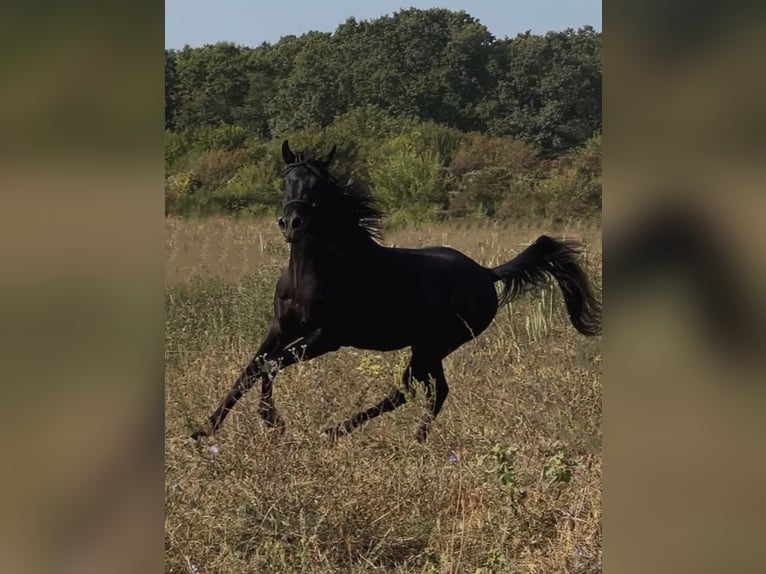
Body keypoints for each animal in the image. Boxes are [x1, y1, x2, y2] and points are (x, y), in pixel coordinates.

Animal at [190, 141, 600, 446]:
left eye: (318, 185)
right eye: (285, 180)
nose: (292, 223)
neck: (312, 273)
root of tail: (486, 273)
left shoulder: (326, 337)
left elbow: (270, 365)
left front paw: (273, 423)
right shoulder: (280, 327)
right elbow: (251, 368)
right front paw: (204, 429)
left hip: (434, 345)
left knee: (411, 389)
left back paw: (340, 432)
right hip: (427, 347)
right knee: (430, 390)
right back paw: (406, 439)